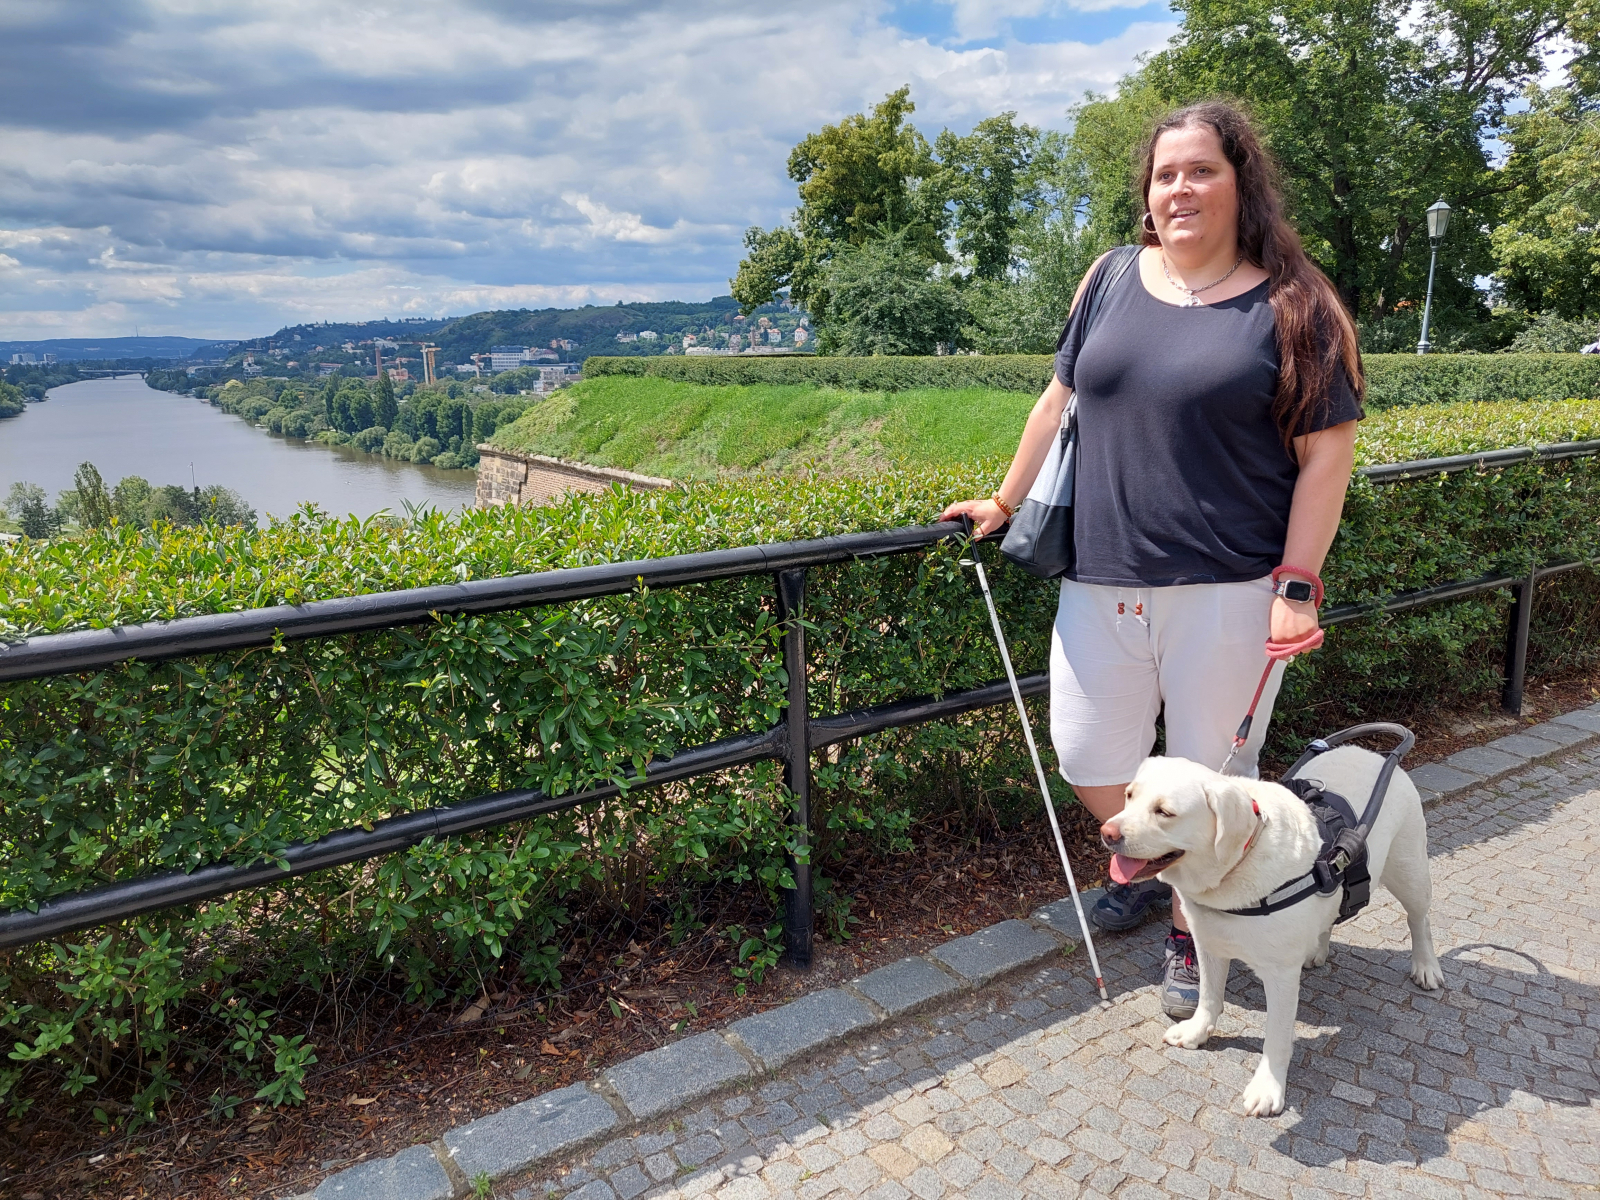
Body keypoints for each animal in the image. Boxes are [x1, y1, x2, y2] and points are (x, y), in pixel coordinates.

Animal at [1101, 748, 1445, 1116]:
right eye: (1129, 796)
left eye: (1164, 812)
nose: (1107, 832)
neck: (1236, 865)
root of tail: (1371, 753)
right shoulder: (1208, 942)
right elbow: (1209, 997)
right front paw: (1196, 1032)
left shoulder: (1280, 975)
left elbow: (1276, 1038)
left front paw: (1268, 1088)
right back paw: (1317, 950)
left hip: (1409, 871)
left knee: (1420, 919)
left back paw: (1426, 967)